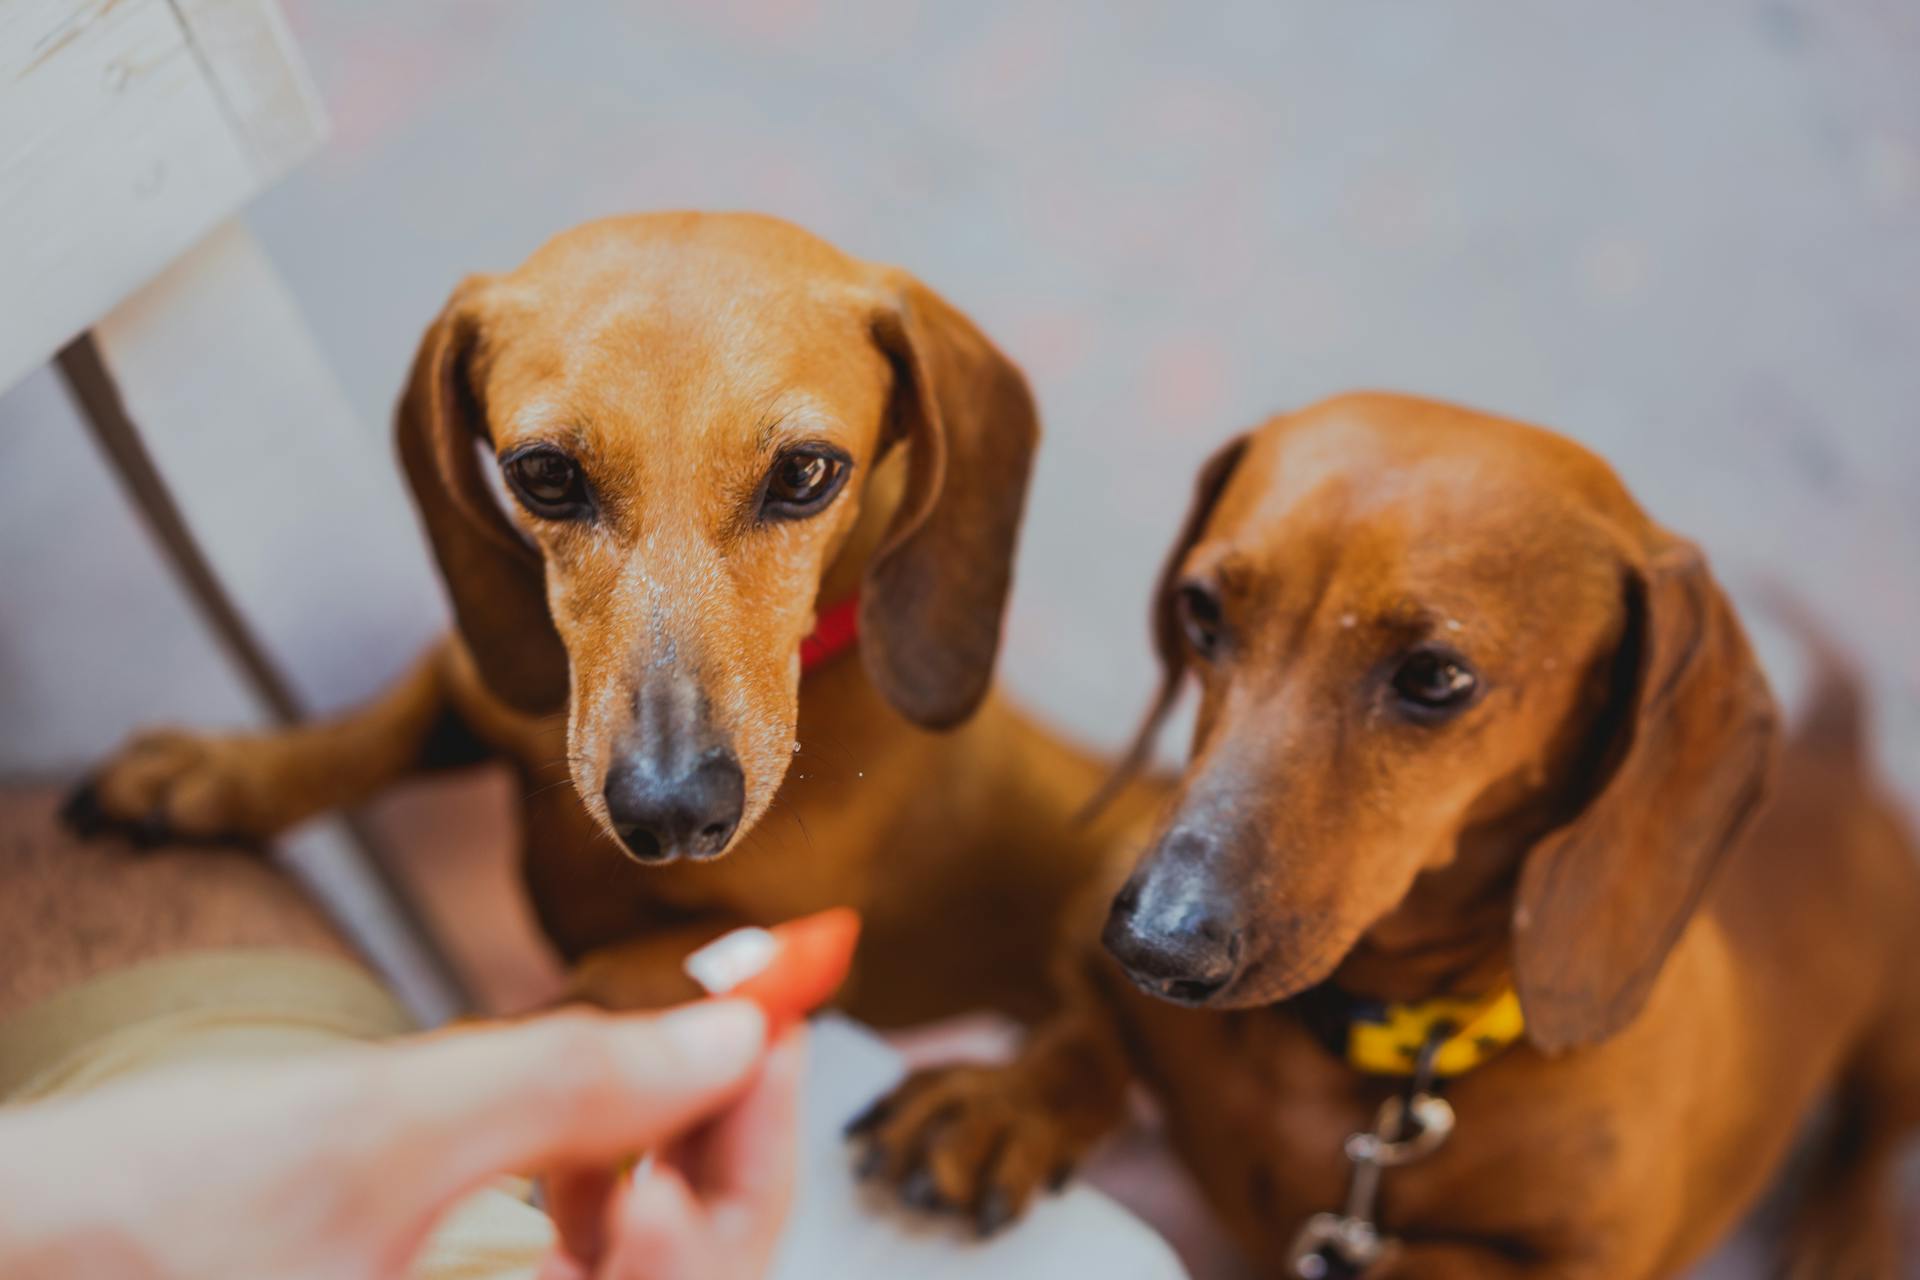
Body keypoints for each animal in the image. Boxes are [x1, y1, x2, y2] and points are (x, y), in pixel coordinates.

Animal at [74, 213, 1144, 1028]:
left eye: (807, 472)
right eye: (545, 473)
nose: (672, 812)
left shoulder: (750, 949)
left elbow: (562, 1012)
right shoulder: (478, 683)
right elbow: (363, 736)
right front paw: (213, 774)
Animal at [864, 395, 1920, 1274]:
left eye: (1437, 677)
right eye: (1201, 613)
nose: (1152, 949)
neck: (1358, 1065)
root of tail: (1838, 752)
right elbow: (1083, 1031)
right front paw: (998, 1105)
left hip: (1895, 1030)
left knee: (1871, 1138)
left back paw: (1849, 1233)